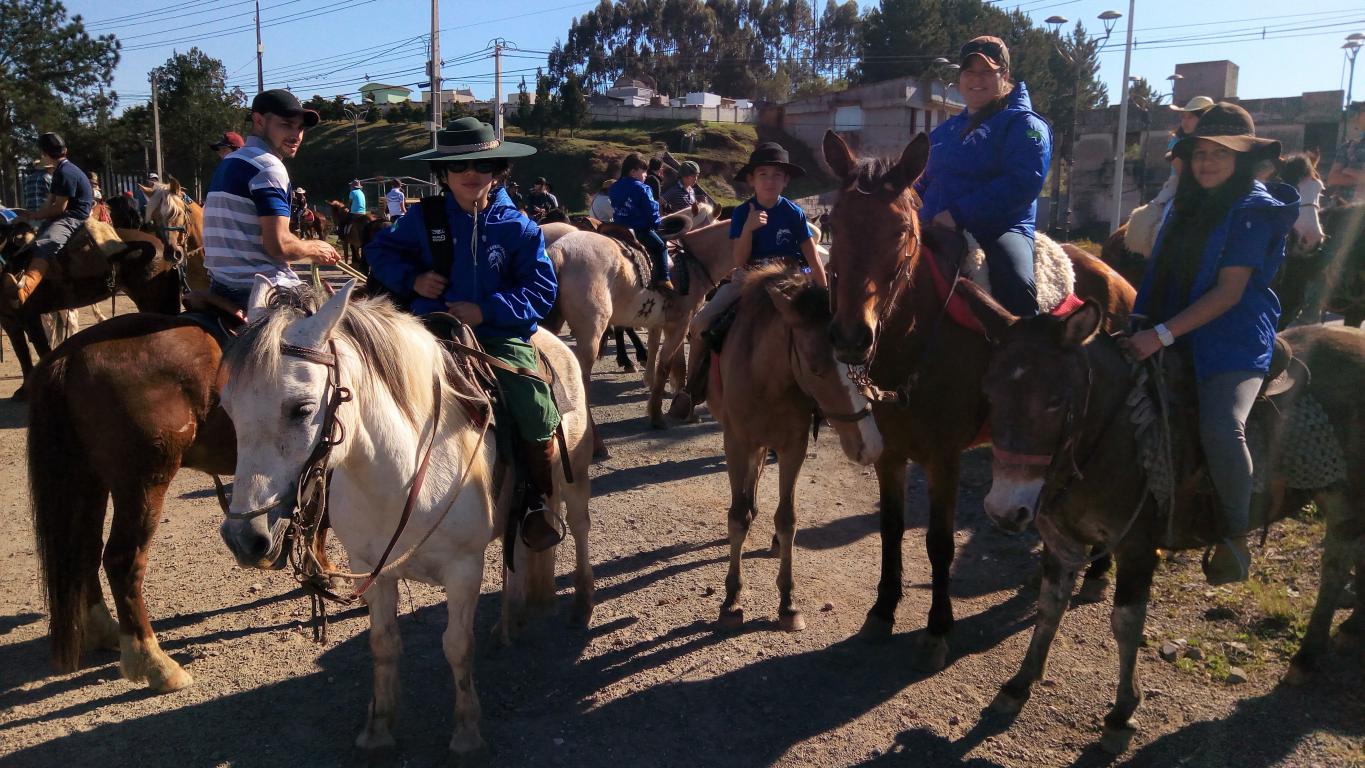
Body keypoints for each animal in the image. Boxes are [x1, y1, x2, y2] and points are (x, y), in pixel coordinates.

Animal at [217, 280, 594, 759]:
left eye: (300, 408)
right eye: (227, 407)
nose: (244, 536)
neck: (401, 475)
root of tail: (549, 339)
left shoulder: (463, 569)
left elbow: (456, 646)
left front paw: (466, 732)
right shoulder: (371, 569)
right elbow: (383, 644)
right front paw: (378, 727)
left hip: (575, 482)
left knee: (579, 531)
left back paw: (581, 606)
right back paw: (511, 621)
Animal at [544, 204, 726, 456]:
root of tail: (559, 252)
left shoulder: (661, 321)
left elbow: (660, 350)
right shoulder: (680, 322)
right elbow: (670, 360)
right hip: (591, 332)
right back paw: (597, 444)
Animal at [711, 265, 883, 632]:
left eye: (865, 365)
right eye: (816, 368)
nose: (871, 446)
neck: (766, 379)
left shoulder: (793, 448)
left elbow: (787, 519)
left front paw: (788, 603)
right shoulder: (736, 442)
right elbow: (737, 517)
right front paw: (731, 600)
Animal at [820, 130, 1136, 668]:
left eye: (901, 230)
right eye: (833, 224)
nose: (851, 336)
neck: (918, 335)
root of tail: (1117, 278)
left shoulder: (943, 457)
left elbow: (939, 543)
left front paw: (936, 628)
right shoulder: (891, 454)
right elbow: (890, 528)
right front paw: (882, 611)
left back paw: (1097, 573)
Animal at [958, 283, 1365, 754]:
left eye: (1056, 401)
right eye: (990, 393)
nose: (1006, 511)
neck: (1114, 435)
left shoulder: (1136, 547)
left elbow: (1125, 623)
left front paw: (1120, 714)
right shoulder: (1061, 539)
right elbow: (1048, 606)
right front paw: (1019, 684)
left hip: (1346, 501)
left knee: (1334, 570)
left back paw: (1308, 656)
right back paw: (1352, 627)